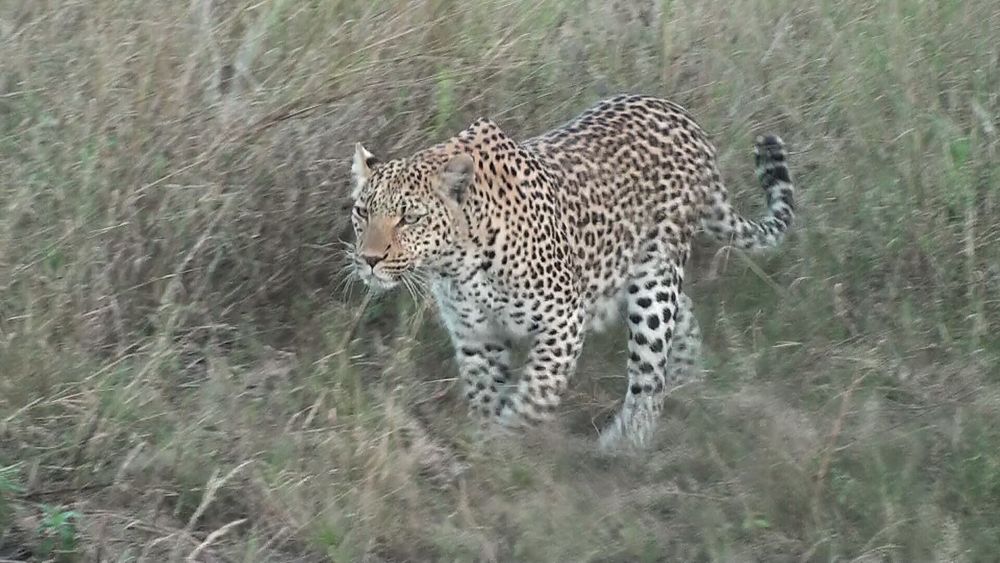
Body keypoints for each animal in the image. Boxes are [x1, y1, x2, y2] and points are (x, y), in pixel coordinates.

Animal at [348, 94, 792, 452]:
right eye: (362, 212)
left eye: (409, 217)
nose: (369, 258)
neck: (457, 262)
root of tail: (686, 120)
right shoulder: (476, 335)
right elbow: (485, 393)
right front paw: (486, 446)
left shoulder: (563, 320)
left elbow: (536, 395)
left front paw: (508, 439)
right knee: (683, 315)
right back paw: (687, 379)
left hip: (654, 283)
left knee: (648, 370)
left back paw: (628, 442)